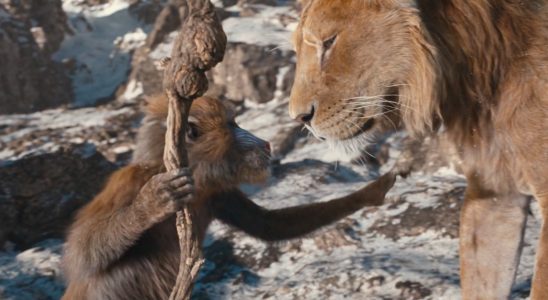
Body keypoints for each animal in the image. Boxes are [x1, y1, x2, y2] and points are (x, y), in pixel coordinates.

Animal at [62, 95, 396, 298]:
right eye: (233, 125)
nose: (265, 143)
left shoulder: (216, 194)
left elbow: (268, 226)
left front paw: (369, 194)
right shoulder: (131, 182)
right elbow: (82, 253)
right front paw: (151, 204)